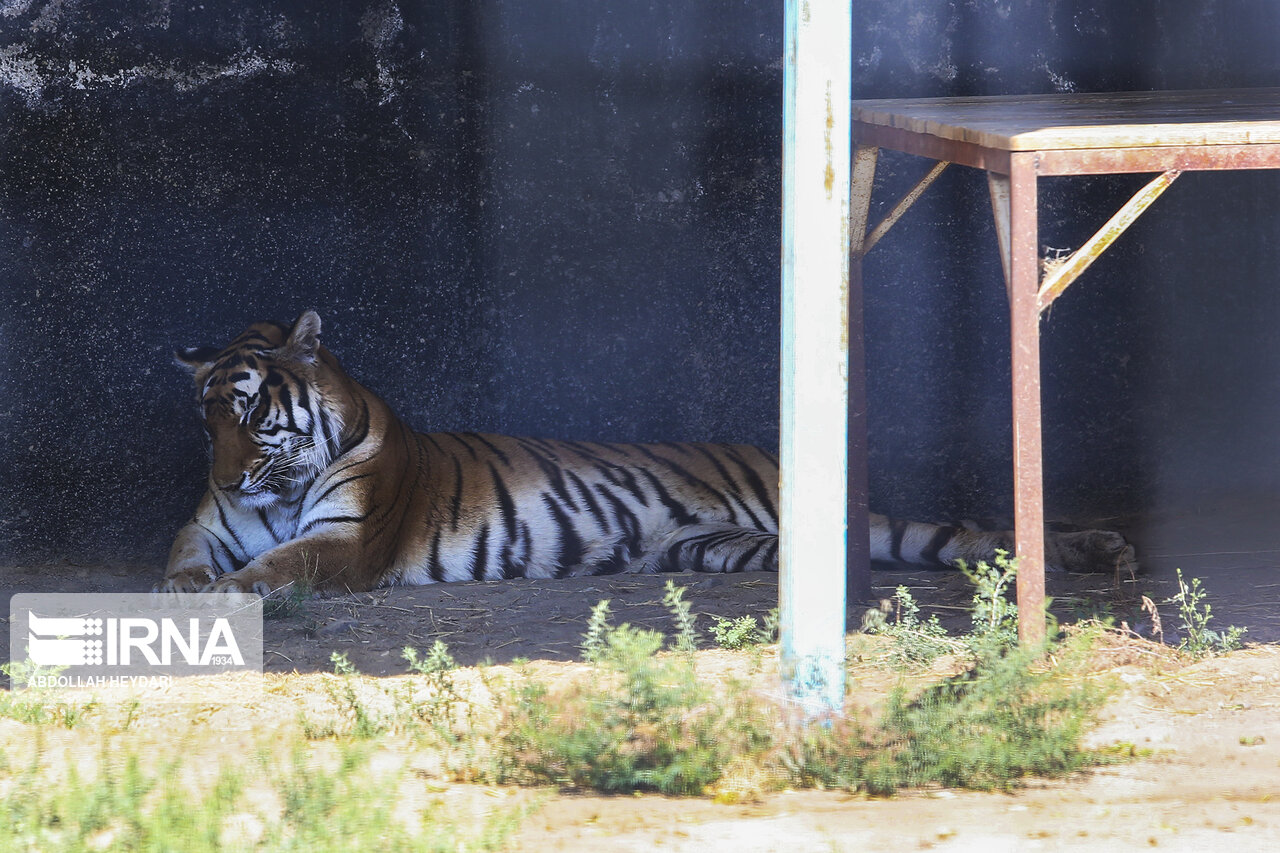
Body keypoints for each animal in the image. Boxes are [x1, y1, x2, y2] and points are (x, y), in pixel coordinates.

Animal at [154, 308, 1136, 594]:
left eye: (251, 410)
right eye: (204, 420)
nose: (227, 472)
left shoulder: (348, 540)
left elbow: (275, 567)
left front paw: (222, 598)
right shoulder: (209, 527)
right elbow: (186, 557)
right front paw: (182, 590)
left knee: (959, 534)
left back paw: (1103, 551)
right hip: (725, 546)